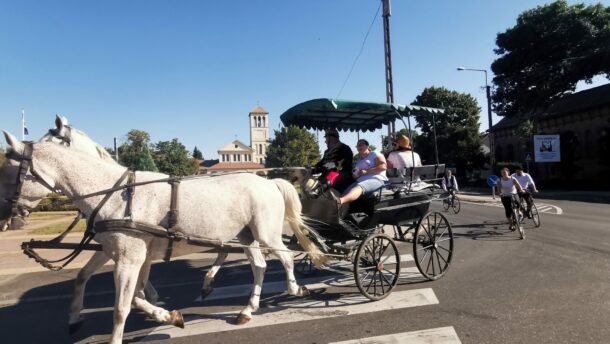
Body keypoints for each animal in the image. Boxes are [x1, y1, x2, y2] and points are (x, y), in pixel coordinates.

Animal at [2, 132, 326, 344]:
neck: (116, 193)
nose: (5, 214)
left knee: (285, 257)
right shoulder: (119, 252)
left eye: (8, 171)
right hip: (246, 236)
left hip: (266, 232)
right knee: (259, 266)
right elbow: (92, 280)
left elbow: (123, 306)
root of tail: (269, 182)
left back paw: (294, 289)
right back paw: (247, 308)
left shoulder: (130, 258)